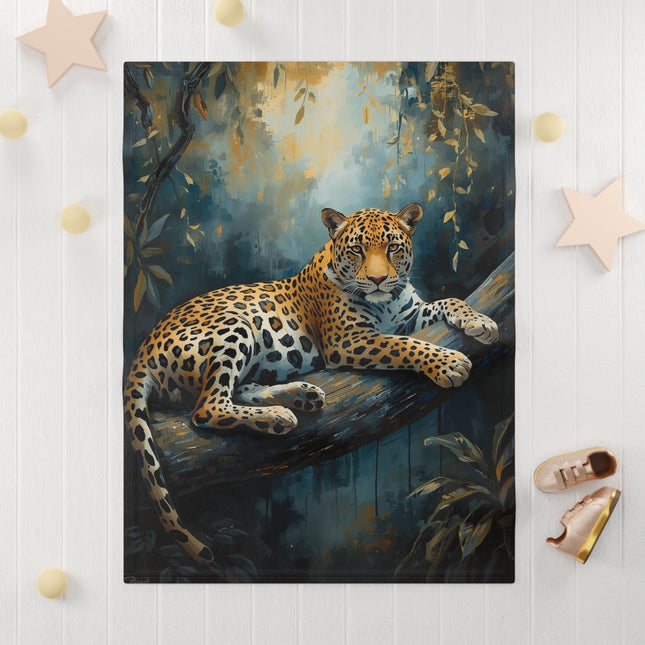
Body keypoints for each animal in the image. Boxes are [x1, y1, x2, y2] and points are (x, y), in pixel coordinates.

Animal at [123, 203, 499, 564]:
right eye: (357, 249)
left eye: (393, 247)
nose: (378, 279)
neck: (387, 302)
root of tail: (142, 351)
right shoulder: (348, 339)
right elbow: (403, 346)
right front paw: (449, 363)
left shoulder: (409, 316)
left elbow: (448, 302)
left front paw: (481, 321)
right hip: (234, 326)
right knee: (207, 406)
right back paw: (279, 415)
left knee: (239, 389)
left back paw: (298, 400)